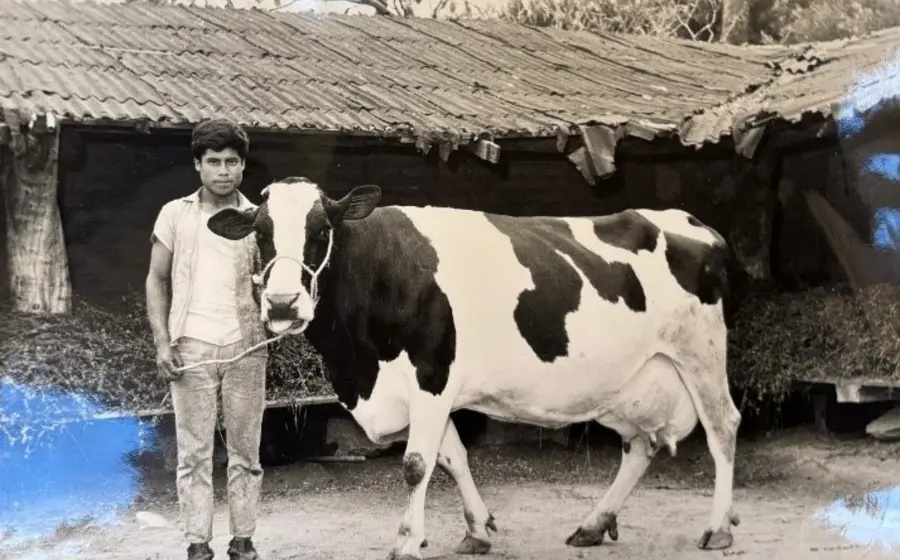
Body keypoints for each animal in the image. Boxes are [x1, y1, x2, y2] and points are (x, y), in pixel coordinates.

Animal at [207, 176, 743, 560]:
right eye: (260, 233)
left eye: (322, 230)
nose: (282, 303)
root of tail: (691, 222)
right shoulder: (430, 389)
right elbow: (453, 457)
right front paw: (477, 530)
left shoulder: (431, 374)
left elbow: (416, 465)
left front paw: (406, 540)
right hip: (628, 383)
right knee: (641, 446)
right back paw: (593, 524)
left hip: (701, 354)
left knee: (723, 427)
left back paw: (717, 528)